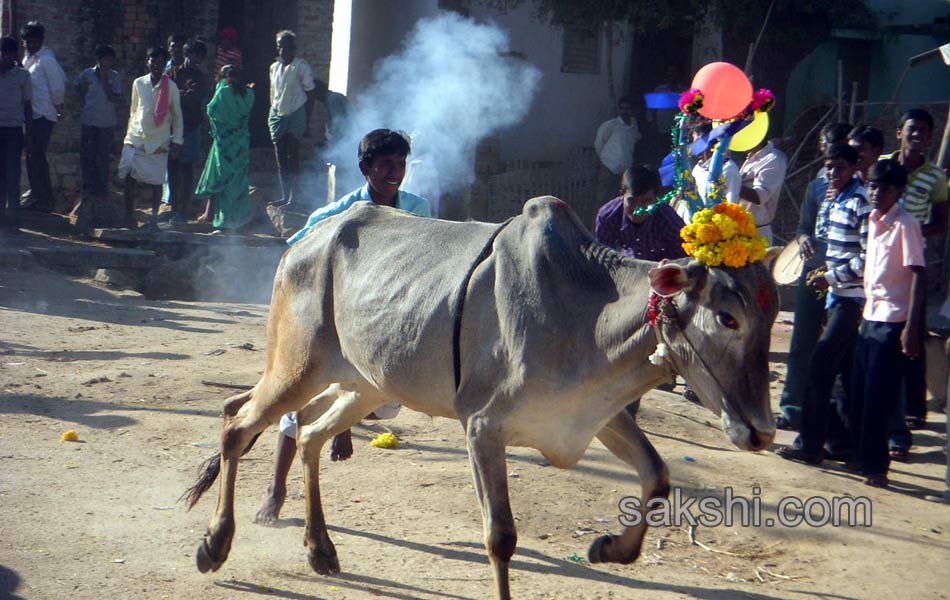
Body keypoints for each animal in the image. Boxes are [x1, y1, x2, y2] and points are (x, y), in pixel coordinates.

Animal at [182, 195, 776, 596]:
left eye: (771, 318)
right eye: (728, 317)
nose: (762, 431)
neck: (589, 311)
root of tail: (303, 241)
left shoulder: (595, 415)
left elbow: (657, 475)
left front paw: (610, 547)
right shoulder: (483, 427)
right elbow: (501, 537)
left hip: (364, 383)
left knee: (307, 434)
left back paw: (321, 549)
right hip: (296, 367)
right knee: (237, 421)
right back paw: (215, 544)